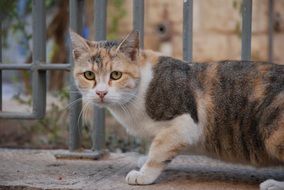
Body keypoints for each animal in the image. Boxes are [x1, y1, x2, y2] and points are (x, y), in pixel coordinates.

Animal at [69, 30, 284, 189]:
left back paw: (274, 184)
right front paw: (143, 160)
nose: (101, 92)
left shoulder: (185, 125)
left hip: (273, 132)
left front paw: (143, 174)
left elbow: (158, 150)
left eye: (116, 75)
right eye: (89, 75)